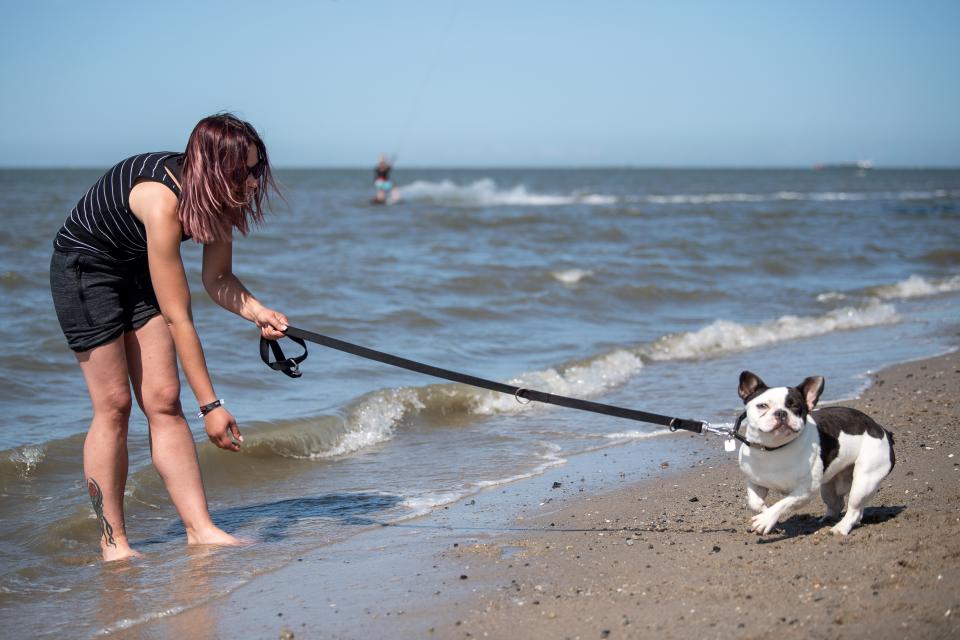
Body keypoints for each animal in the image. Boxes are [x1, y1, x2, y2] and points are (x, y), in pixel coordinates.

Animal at [736, 370, 900, 536]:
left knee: (854, 509)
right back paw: (828, 518)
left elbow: (783, 503)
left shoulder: (805, 492)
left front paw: (766, 519)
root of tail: (881, 429)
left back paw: (840, 528)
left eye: (795, 406)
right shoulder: (755, 482)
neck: (774, 449)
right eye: (762, 406)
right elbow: (755, 503)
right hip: (829, 487)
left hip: (864, 480)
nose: (781, 413)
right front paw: (766, 516)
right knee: (837, 503)